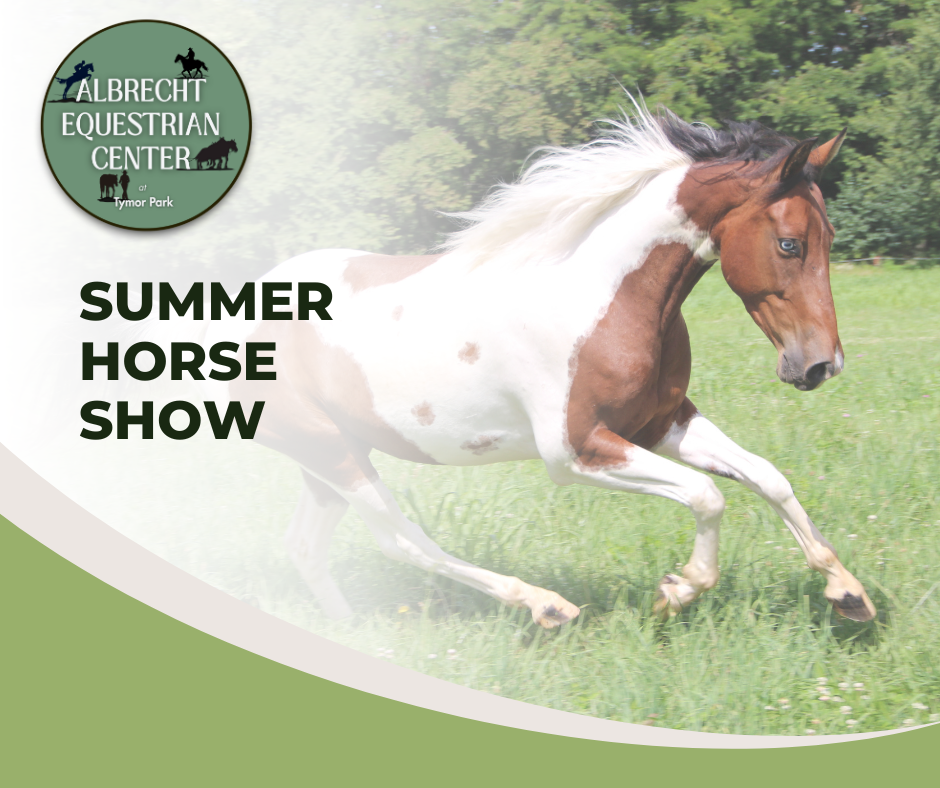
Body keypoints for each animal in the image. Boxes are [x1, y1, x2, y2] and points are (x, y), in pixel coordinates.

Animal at [205, 105, 877, 627]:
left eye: (830, 236)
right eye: (790, 243)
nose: (821, 365)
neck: (597, 293)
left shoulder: (661, 423)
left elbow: (767, 477)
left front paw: (848, 594)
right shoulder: (577, 449)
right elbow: (707, 495)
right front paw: (676, 592)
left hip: (329, 456)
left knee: (306, 547)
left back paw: (351, 635)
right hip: (332, 453)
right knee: (400, 539)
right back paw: (545, 605)